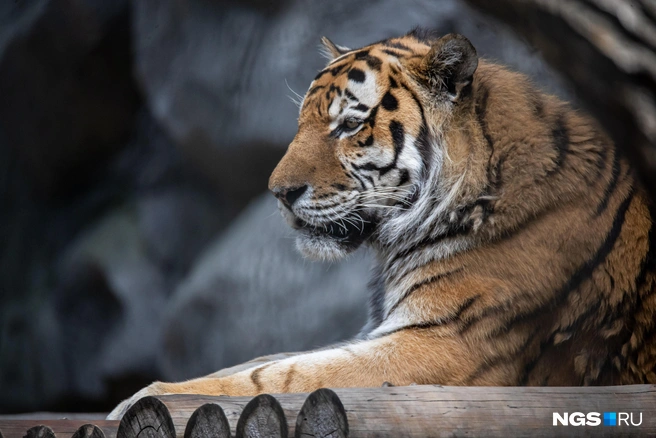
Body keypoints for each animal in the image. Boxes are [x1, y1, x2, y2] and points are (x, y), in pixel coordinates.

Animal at [108, 29, 656, 419]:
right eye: (302, 122)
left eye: (349, 125)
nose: (278, 193)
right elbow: (265, 361)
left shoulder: (439, 343)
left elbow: (280, 375)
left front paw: (143, 396)